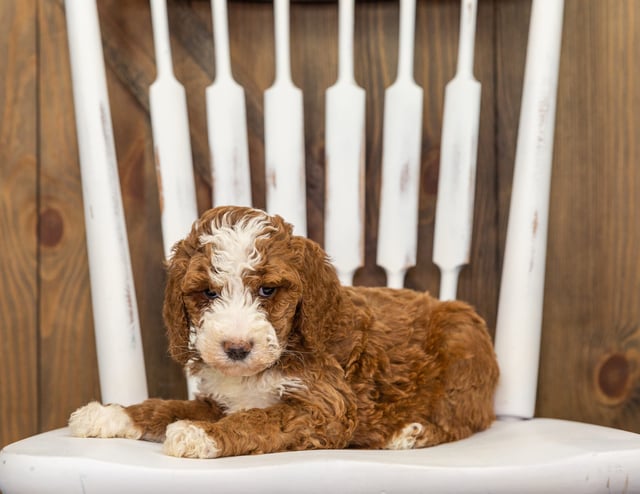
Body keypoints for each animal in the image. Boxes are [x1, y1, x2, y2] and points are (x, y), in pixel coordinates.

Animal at [70, 206, 500, 460]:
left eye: (267, 290)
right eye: (208, 293)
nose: (236, 348)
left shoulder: (325, 408)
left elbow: (261, 419)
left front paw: (199, 435)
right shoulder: (220, 400)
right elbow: (167, 406)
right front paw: (110, 414)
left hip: (462, 351)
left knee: (465, 418)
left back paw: (410, 433)